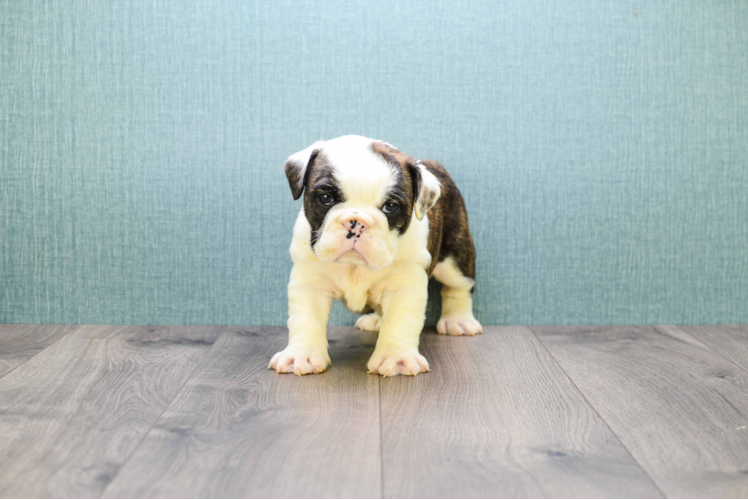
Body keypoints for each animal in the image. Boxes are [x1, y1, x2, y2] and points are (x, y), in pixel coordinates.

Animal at [268, 135, 480, 376]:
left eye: (390, 206)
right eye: (326, 198)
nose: (356, 222)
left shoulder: (404, 288)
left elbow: (400, 322)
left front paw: (396, 358)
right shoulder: (310, 283)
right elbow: (306, 320)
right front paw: (301, 355)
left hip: (455, 256)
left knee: (458, 287)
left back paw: (458, 320)